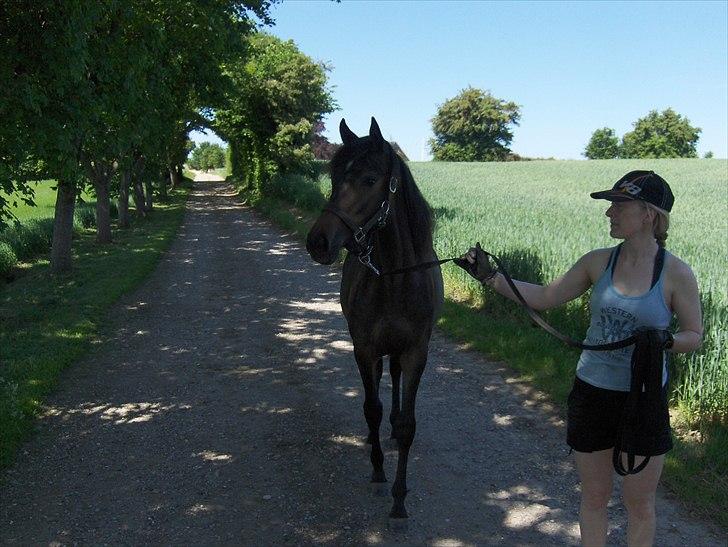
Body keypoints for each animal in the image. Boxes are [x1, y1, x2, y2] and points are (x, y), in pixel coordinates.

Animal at [306, 117, 444, 520]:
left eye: (369, 179)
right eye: (334, 176)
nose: (318, 242)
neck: (396, 278)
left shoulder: (416, 352)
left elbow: (409, 424)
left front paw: (400, 498)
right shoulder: (364, 348)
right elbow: (371, 407)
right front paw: (379, 468)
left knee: (394, 378)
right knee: (381, 383)